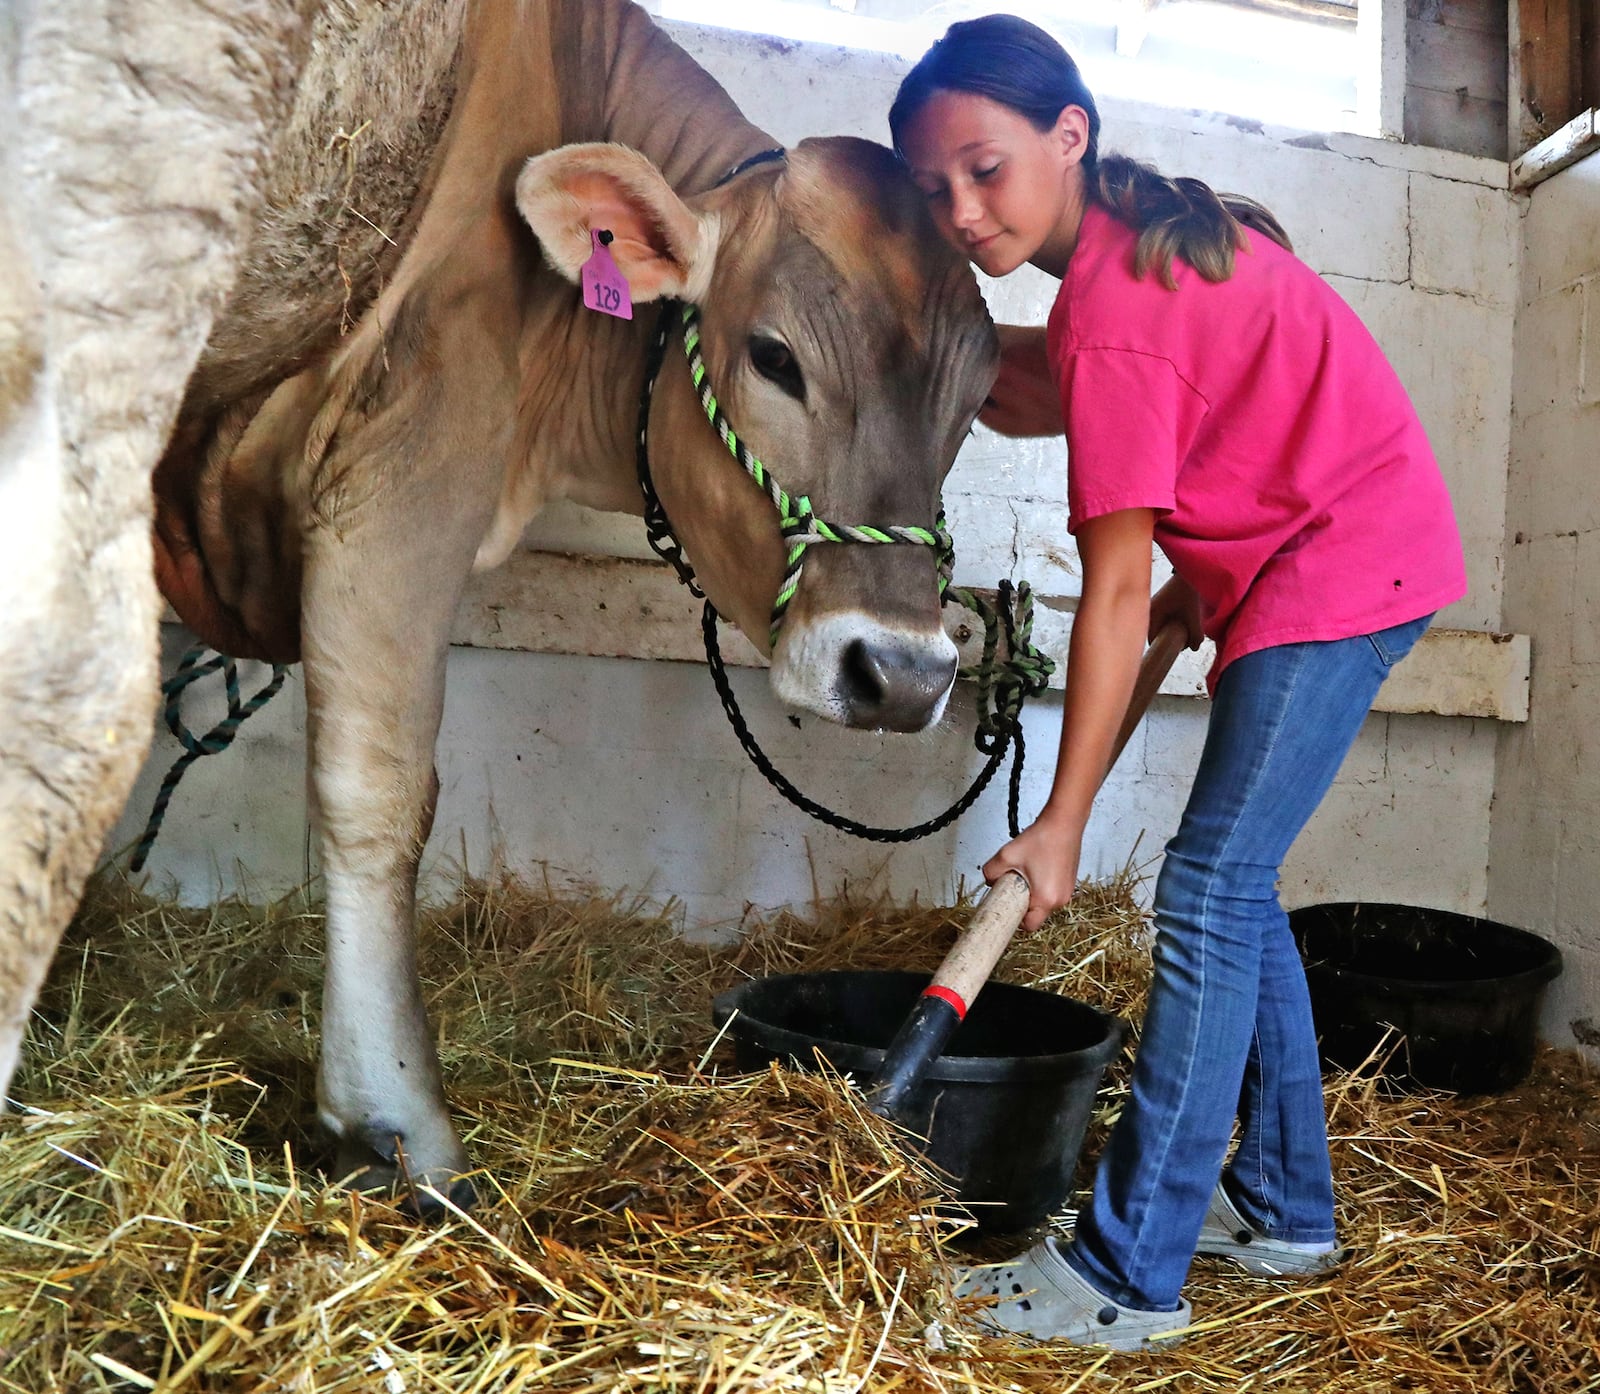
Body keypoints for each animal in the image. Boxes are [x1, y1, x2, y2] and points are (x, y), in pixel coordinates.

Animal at [3, 0, 998, 1209]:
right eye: (774, 357)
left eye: (975, 403)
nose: (903, 673)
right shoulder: (412, 452)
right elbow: (382, 792)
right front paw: (394, 1119)